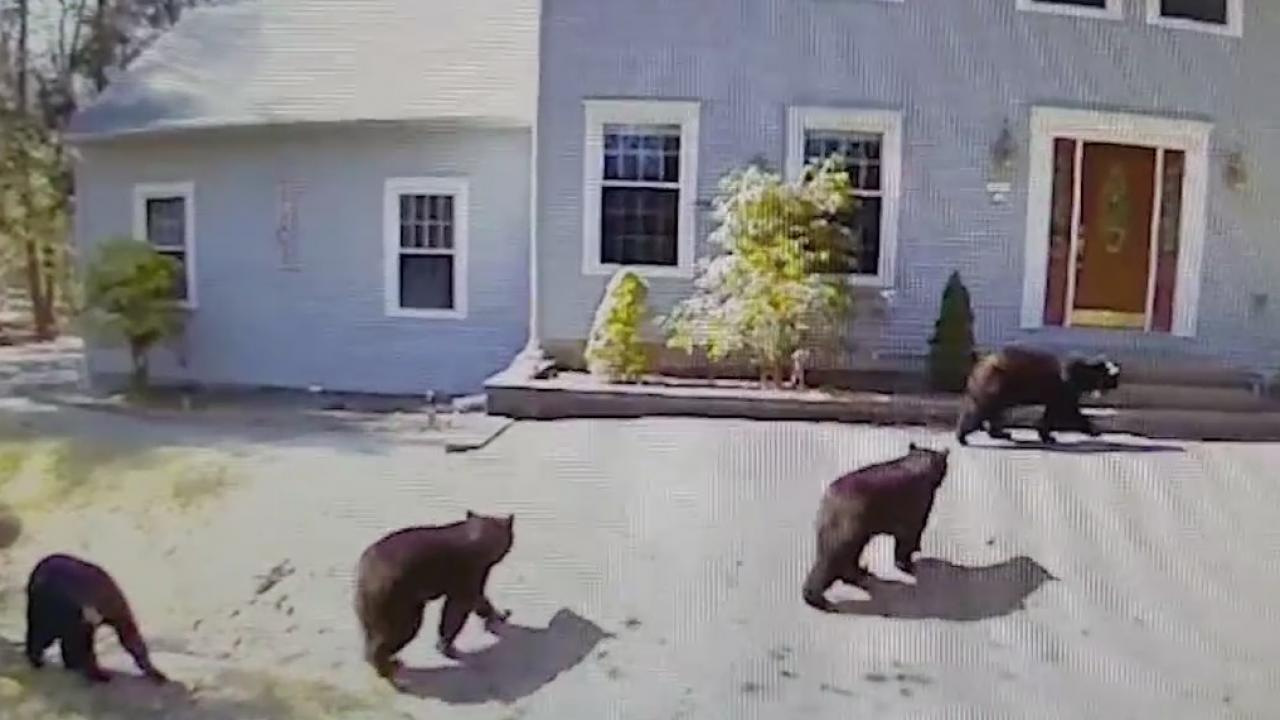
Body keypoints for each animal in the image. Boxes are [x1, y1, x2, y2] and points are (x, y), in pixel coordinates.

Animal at [25, 553, 169, 684]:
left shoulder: (116, 608)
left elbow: (130, 637)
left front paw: (154, 671)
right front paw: (96, 672)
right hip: (44, 609)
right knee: (42, 631)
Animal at [354, 510, 514, 683]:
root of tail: (364, 575)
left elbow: (476, 602)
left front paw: (499, 615)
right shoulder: (470, 574)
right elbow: (458, 609)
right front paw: (446, 645)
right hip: (397, 602)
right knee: (394, 635)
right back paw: (390, 669)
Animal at [802, 443, 950, 612]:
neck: (919, 464)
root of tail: (828, 500)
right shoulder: (918, 505)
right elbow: (910, 535)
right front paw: (908, 562)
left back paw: (860, 572)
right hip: (849, 526)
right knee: (834, 558)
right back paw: (820, 598)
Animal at [955, 345, 1120, 446]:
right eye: (1113, 378)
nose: (1117, 384)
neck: (1085, 376)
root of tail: (978, 364)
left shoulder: (1056, 394)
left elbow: (1051, 413)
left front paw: (1047, 435)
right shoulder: (1065, 388)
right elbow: (1069, 411)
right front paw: (1094, 430)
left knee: (995, 412)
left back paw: (1002, 433)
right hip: (997, 385)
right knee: (980, 411)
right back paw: (962, 436)